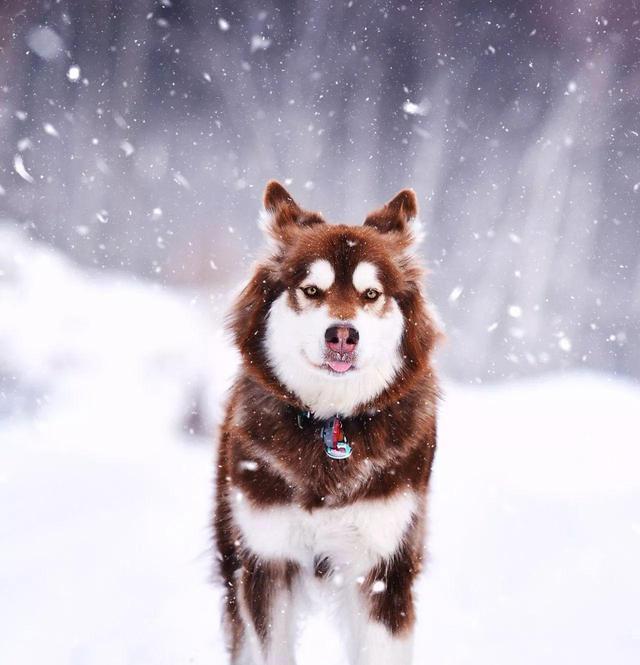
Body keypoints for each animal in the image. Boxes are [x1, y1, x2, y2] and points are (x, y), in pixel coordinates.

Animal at [214, 182, 440, 664]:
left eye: (371, 294)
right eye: (312, 290)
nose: (342, 335)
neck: (332, 422)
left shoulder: (384, 565)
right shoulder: (266, 560)